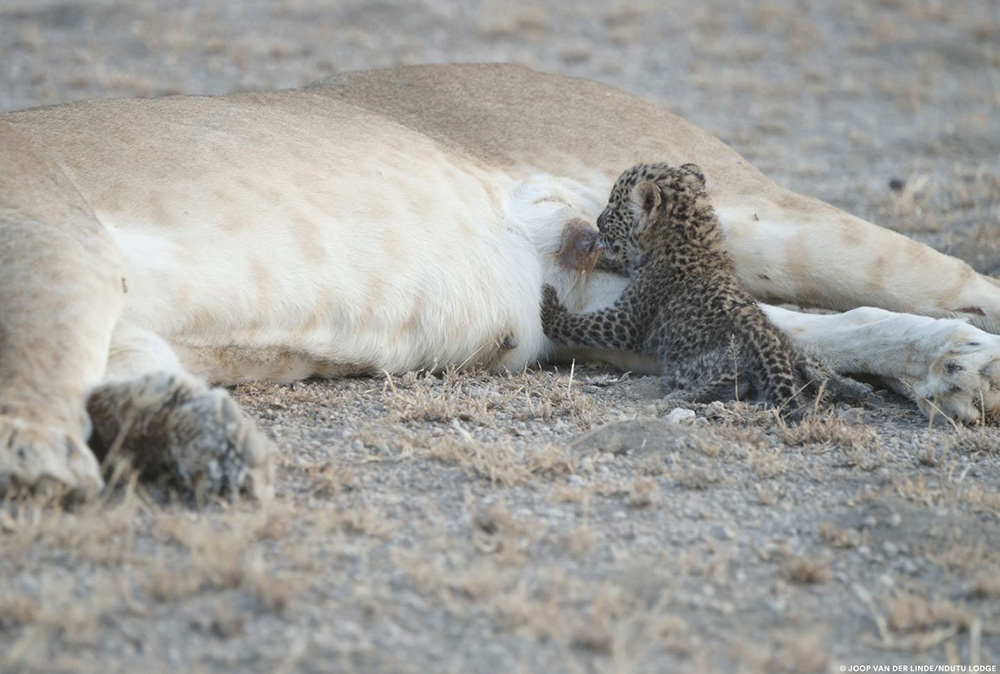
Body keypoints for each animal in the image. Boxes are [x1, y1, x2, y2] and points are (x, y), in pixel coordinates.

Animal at [541, 162, 871, 411]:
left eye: (612, 208)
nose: (597, 220)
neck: (693, 239)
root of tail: (770, 347)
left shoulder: (630, 319)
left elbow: (587, 325)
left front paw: (549, 306)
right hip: (797, 352)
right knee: (815, 367)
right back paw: (853, 387)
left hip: (700, 364)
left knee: (734, 382)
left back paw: (676, 398)